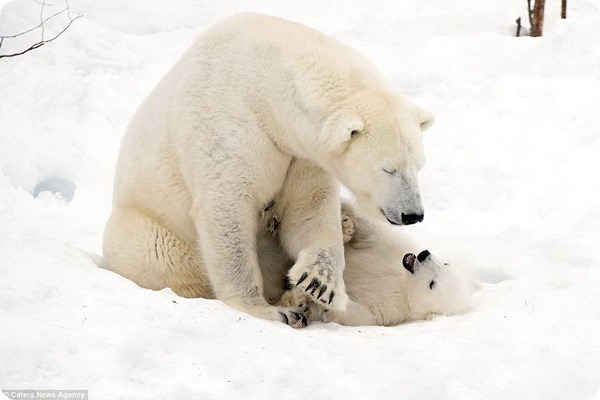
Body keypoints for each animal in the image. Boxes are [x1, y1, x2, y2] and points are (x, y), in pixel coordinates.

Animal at [102, 13, 432, 328]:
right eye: (389, 169)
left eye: (419, 166)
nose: (412, 215)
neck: (266, 83)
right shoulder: (226, 123)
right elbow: (228, 210)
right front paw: (269, 310)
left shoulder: (301, 154)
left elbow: (308, 207)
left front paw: (319, 283)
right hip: (151, 234)